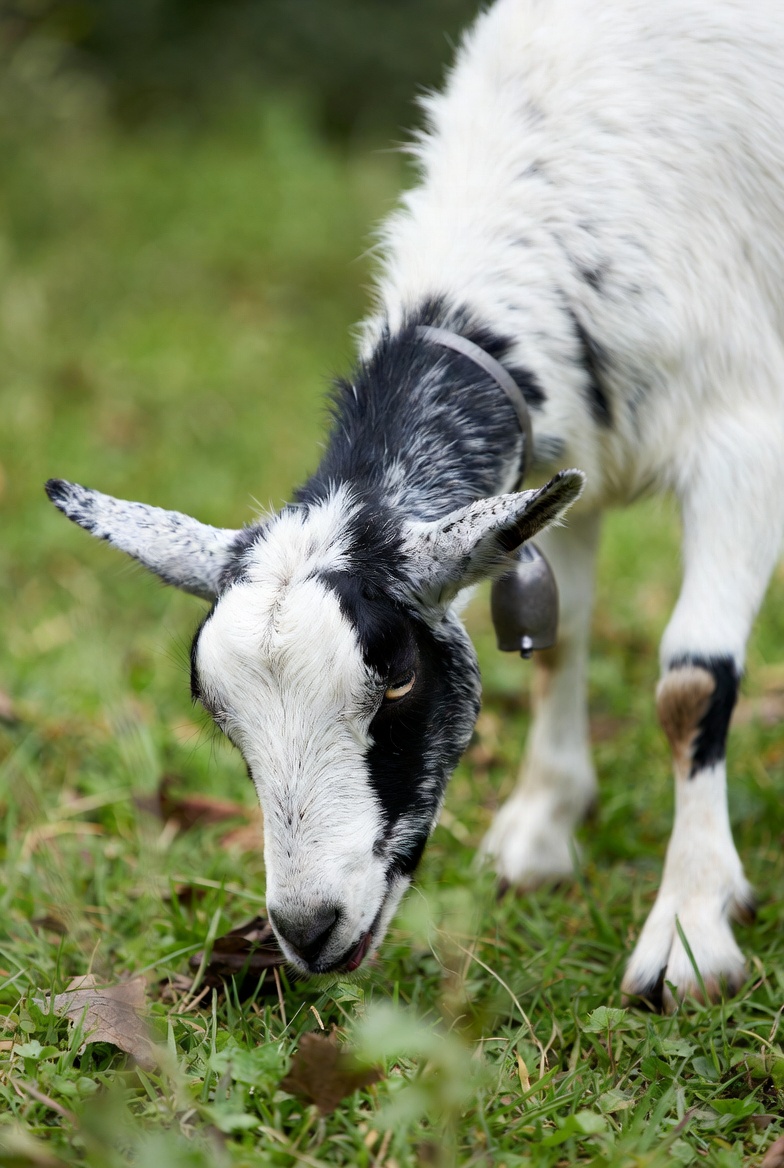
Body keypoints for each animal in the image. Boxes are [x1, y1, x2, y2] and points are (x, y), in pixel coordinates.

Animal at [46, 0, 784, 1009]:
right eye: (211, 704)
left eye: (396, 676)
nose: (308, 930)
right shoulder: (564, 464)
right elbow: (561, 640)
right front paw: (541, 831)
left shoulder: (744, 440)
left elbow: (690, 684)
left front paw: (688, 935)